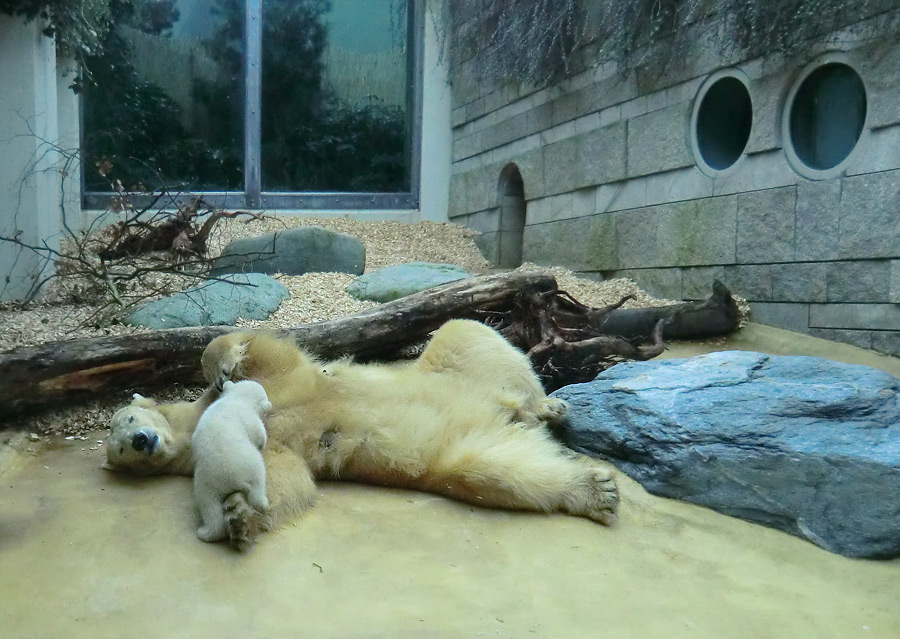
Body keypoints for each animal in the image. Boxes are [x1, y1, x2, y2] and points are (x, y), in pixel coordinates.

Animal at [192, 380, 270, 552]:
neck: (237, 399)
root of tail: (232, 479)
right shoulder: (250, 419)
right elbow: (259, 435)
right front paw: (263, 442)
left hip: (206, 484)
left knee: (210, 508)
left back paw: (205, 533)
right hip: (250, 463)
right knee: (257, 485)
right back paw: (264, 503)